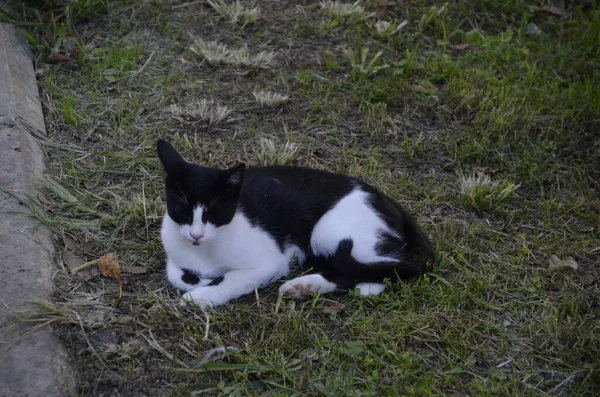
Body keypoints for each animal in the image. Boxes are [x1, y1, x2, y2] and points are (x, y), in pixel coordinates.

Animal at [157, 138, 434, 308]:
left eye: (214, 212)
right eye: (182, 209)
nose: (196, 235)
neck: (204, 253)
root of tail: (386, 198)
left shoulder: (269, 262)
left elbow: (232, 280)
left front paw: (203, 296)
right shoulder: (174, 252)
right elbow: (175, 273)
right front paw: (198, 281)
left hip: (326, 231)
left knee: (367, 267)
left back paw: (311, 286)